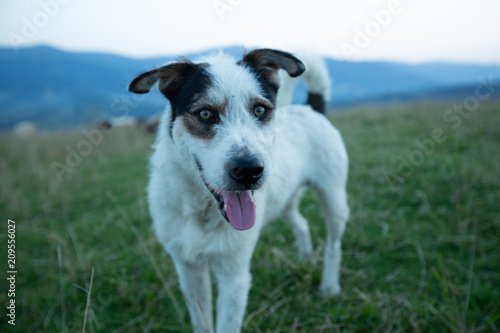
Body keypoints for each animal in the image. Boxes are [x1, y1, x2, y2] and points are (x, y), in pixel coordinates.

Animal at [129, 48, 348, 330]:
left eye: (260, 110)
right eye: (205, 114)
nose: (249, 171)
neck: (202, 211)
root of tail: (311, 108)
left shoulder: (234, 276)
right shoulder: (188, 269)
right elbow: (202, 323)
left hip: (334, 198)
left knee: (334, 243)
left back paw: (329, 285)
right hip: (285, 201)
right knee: (302, 224)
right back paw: (305, 259)